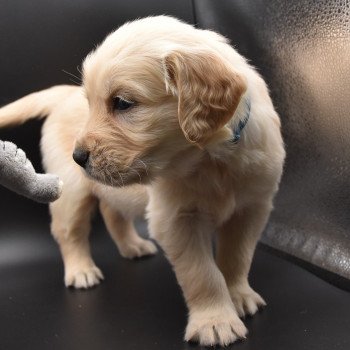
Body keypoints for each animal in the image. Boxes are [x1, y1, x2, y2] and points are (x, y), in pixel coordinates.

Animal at [0, 17, 284, 348]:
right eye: (92, 104)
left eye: (122, 103)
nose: (78, 156)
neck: (211, 160)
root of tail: (64, 96)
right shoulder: (177, 220)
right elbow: (202, 273)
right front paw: (215, 321)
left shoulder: (252, 208)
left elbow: (237, 257)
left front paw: (238, 296)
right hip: (70, 191)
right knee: (69, 231)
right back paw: (81, 270)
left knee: (112, 213)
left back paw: (132, 245)